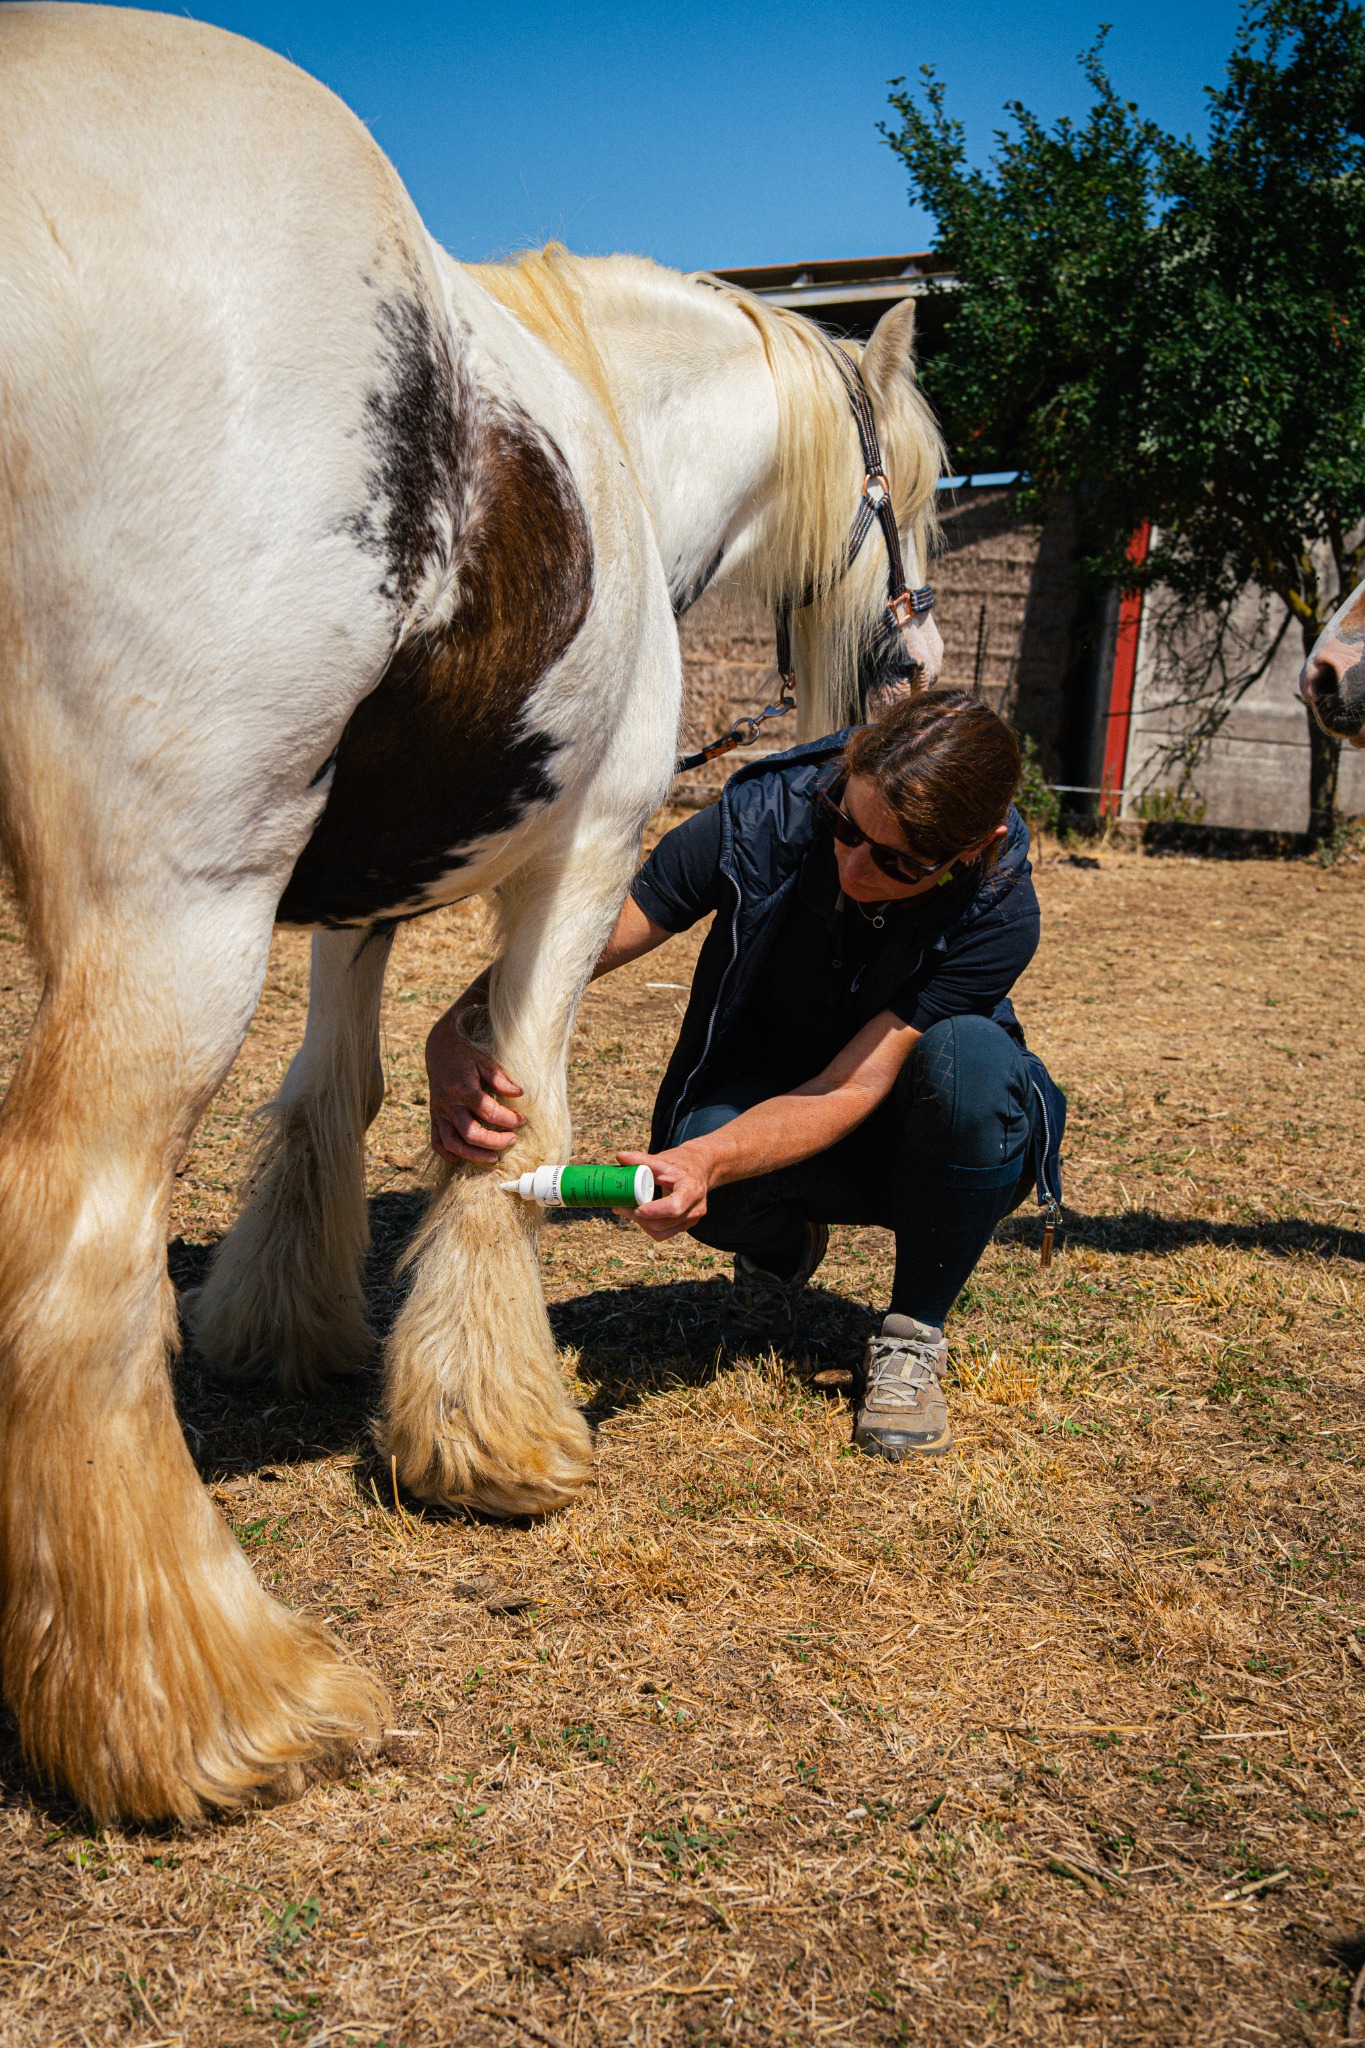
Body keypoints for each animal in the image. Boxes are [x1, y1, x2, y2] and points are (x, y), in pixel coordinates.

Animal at [0, 2, 945, 1825]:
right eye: (916, 489)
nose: (923, 667)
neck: (603, 432)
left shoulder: (357, 897)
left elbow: (340, 1096)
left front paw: (286, 1328)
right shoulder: (584, 854)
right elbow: (517, 1116)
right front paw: (495, 1435)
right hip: (172, 916)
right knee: (72, 1240)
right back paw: (207, 1706)